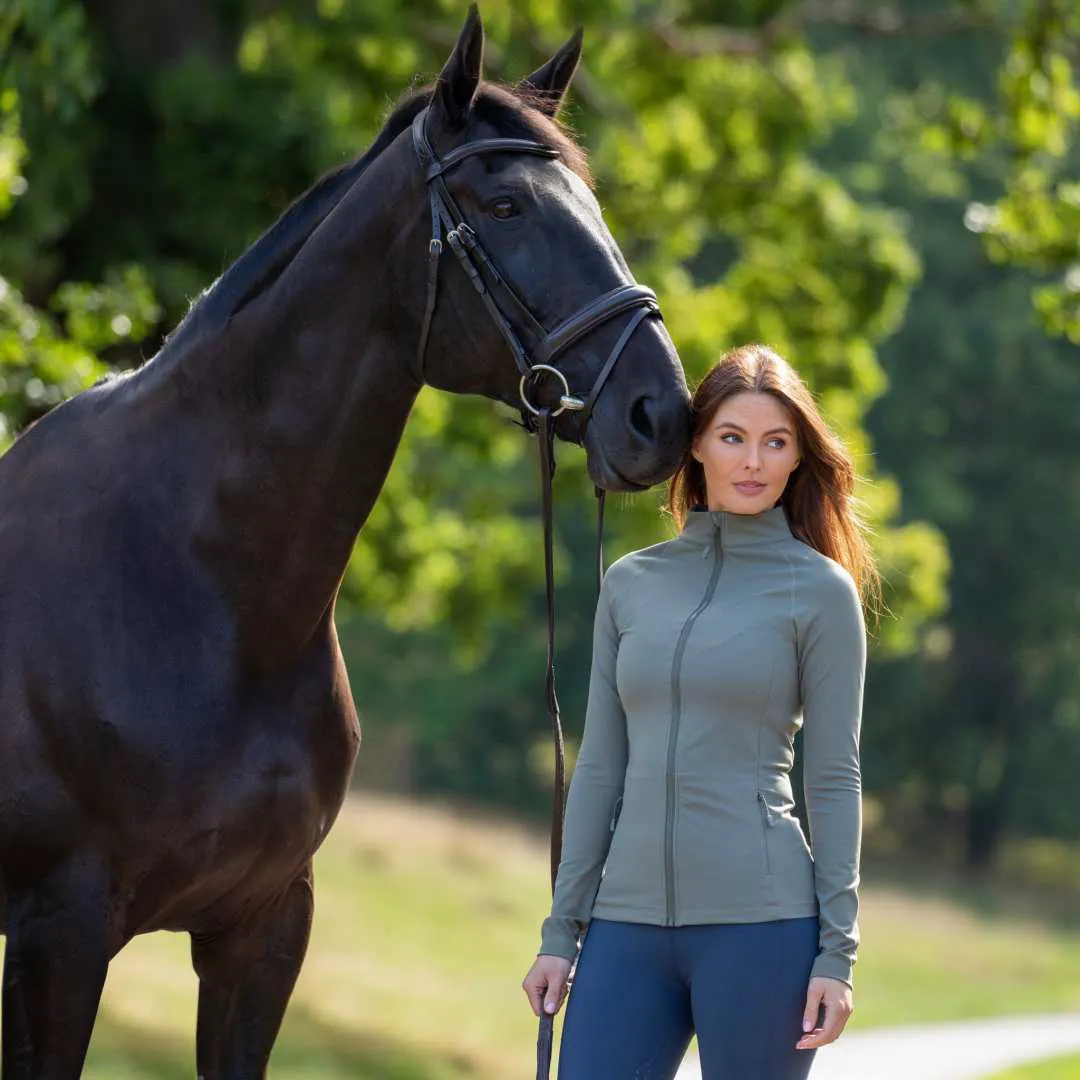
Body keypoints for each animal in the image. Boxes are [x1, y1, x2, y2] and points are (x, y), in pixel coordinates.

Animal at [0, 6, 686, 1071]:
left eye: (592, 203)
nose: (664, 412)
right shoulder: (58, 936)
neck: (201, 589)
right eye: (504, 207)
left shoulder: (263, 929)